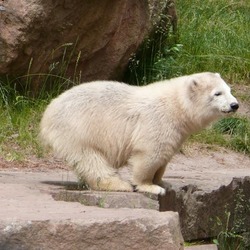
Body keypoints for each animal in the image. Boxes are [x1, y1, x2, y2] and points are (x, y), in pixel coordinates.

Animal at [40, 72, 239, 195]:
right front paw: (150, 186)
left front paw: (163, 182)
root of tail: (47, 112)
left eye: (229, 90)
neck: (177, 106)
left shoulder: (178, 131)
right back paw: (119, 184)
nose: (235, 105)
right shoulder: (157, 120)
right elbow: (151, 154)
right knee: (90, 159)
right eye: (217, 93)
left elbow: (165, 157)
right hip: (78, 129)